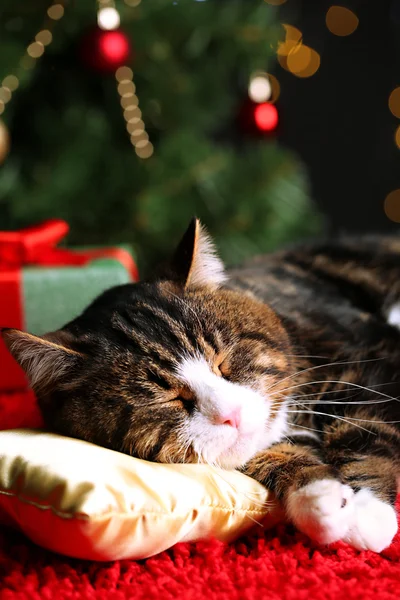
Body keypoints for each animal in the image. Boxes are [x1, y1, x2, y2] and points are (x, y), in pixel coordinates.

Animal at [0, 219, 400, 552]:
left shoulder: (371, 355)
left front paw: (369, 510)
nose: (232, 414)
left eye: (223, 361)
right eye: (168, 399)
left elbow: (366, 424)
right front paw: (322, 499)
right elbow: (272, 453)